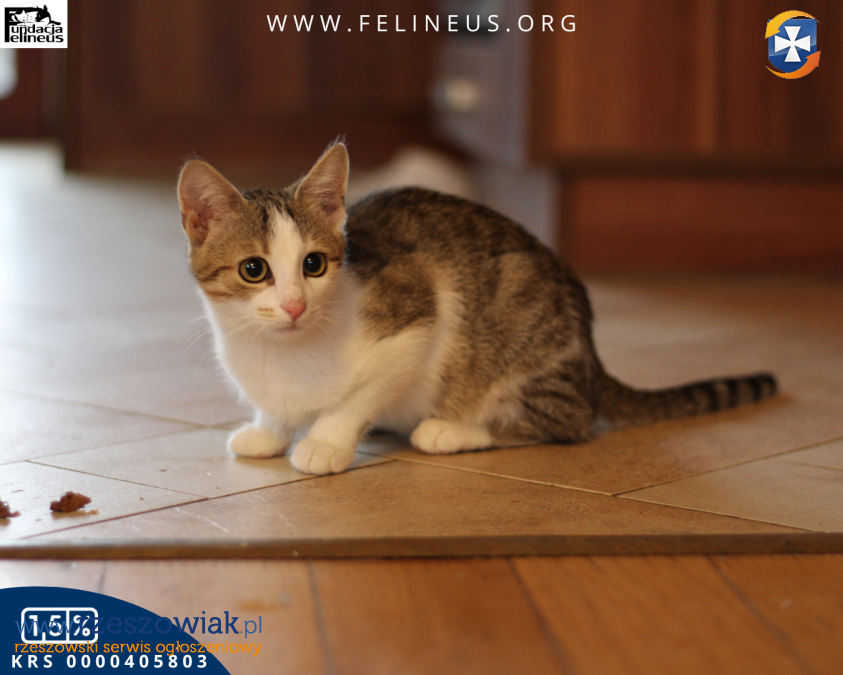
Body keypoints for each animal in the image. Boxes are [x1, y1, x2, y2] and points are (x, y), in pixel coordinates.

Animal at [177, 141, 777, 475]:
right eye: (254, 270)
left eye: (315, 264)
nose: (295, 305)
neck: (282, 353)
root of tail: (589, 353)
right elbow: (278, 408)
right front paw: (269, 430)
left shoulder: (417, 315)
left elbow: (360, 396)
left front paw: (325, 441)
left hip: (521, 320)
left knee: (568, 422)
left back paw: (451, 430)